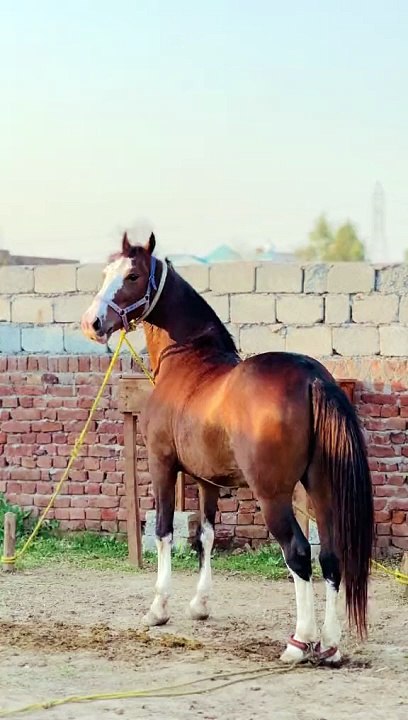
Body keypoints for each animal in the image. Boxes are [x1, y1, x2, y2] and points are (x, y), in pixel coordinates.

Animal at [81, 231, 374, 665]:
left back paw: (299, 642)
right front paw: (199, 605)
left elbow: (165, 530)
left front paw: (158, 609)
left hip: (274, 495)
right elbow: (206, 535)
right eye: (105, 272)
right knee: (330, 556)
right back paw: (331, 645)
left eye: (132, 275)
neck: (187, 360)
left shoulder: (162, 463)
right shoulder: (207, 480)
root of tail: (312, 377)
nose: (93, 322)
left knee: (298, 552)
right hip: (320, 487)